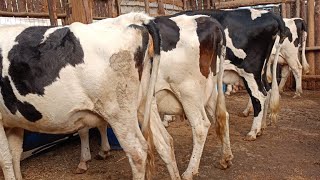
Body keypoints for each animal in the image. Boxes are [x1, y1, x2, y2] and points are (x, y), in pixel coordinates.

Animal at [0, 11, 162, 179]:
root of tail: (130, 18)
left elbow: (5, 159)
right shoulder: (14, 121)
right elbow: (15, 154)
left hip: (119, 112)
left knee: (138, 152)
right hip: (144, 103)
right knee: (162, 143)